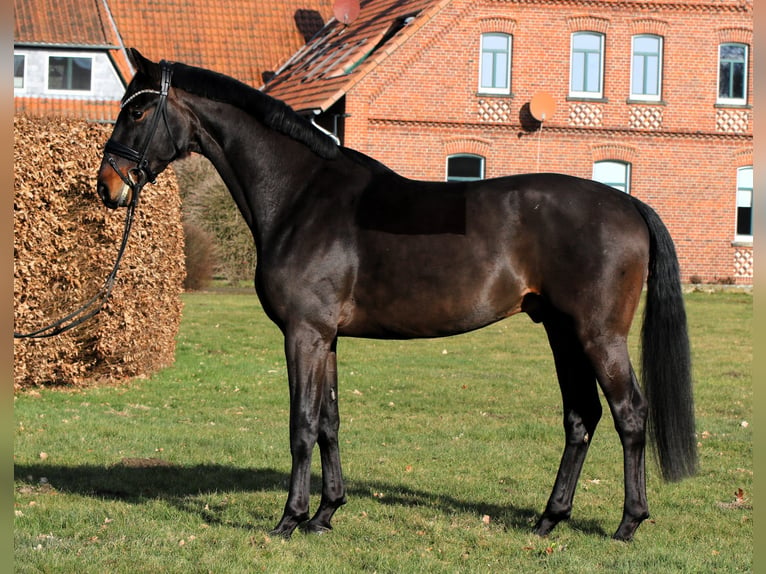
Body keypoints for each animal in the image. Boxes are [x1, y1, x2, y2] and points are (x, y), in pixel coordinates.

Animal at [97, 50, 704, 544]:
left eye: (137, 112)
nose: (107, 185)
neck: (301, 196)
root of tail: (628, 205)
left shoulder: (304, 334)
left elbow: (301, 424)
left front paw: (290, 519)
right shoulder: (327, 339)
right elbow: (329, 422)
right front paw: (326, 514)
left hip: (598, 335)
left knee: (630, 415)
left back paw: (628, 523)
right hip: (561, 332)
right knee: (581, 417)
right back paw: (549, 519)